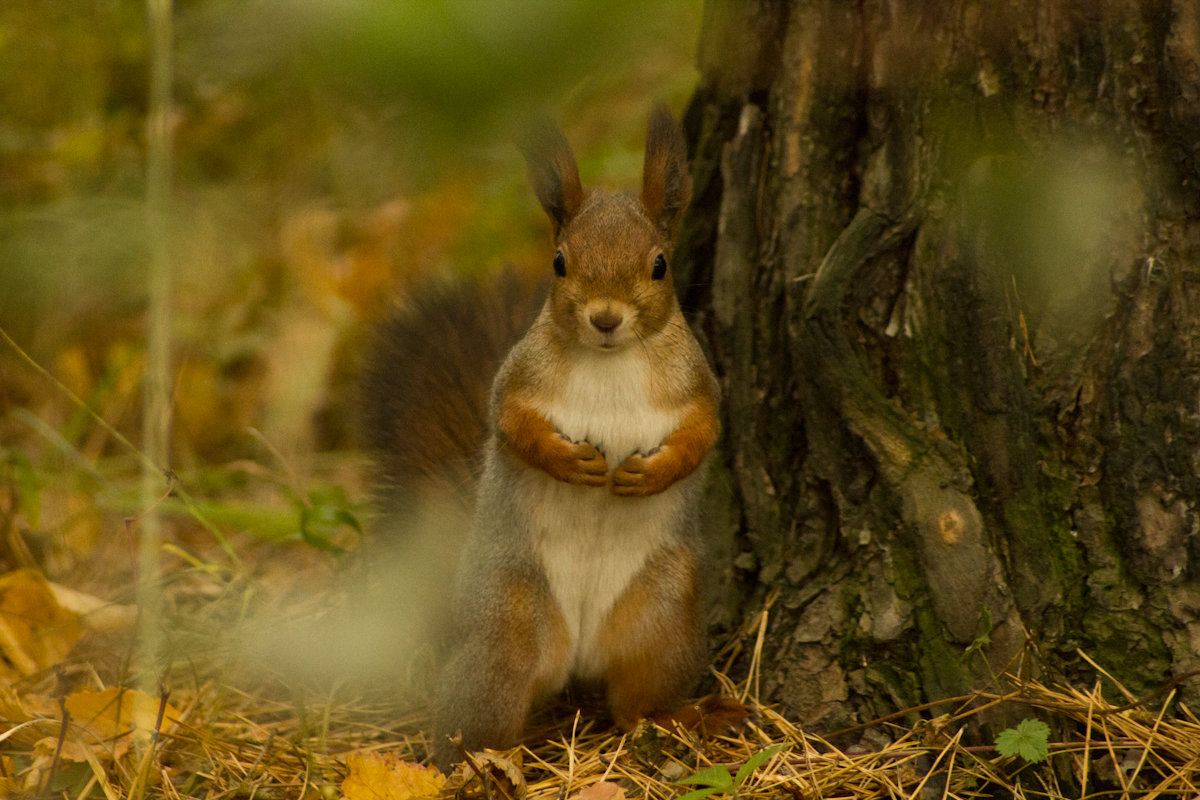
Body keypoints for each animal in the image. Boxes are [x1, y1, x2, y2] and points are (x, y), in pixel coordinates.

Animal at [362, 103, 720, 767]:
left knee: (633, 705)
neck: (610, 361)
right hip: (507, 630)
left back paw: (682, 716)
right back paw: (476, 766)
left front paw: (647, 474)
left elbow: (701, 436)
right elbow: (512, 426)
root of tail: (576, 656)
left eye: (659, 265)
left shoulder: (701, 388)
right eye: (559, 261)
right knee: (477, 716)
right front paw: (569, 462)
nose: (605, 318)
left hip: (663, 620)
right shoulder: (516, 382)